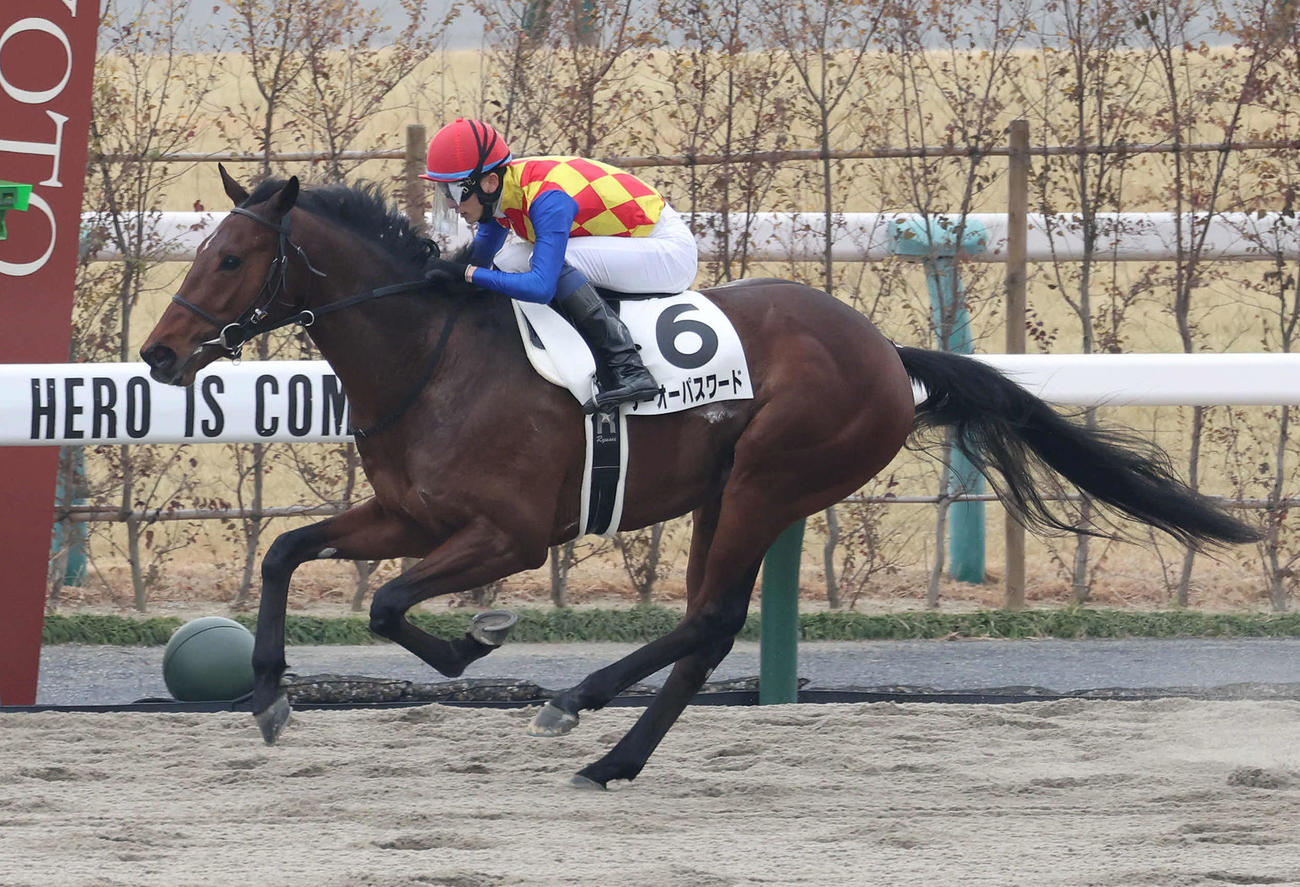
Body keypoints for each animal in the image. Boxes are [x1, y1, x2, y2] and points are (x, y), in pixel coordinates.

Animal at [140, 168, 1260, 789]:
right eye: (206, 249)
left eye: (232, 258)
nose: (157, 354)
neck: (434, 352)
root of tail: (888, 355)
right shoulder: (410, 512)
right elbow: (289, 552)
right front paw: (268, 694)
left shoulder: (510, 534)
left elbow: (386, 604)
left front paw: (475, 641)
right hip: (729, 493)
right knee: (702, 627)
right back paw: (612, 752)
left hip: (772, 479)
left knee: (712, 618)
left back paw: (581, 708)